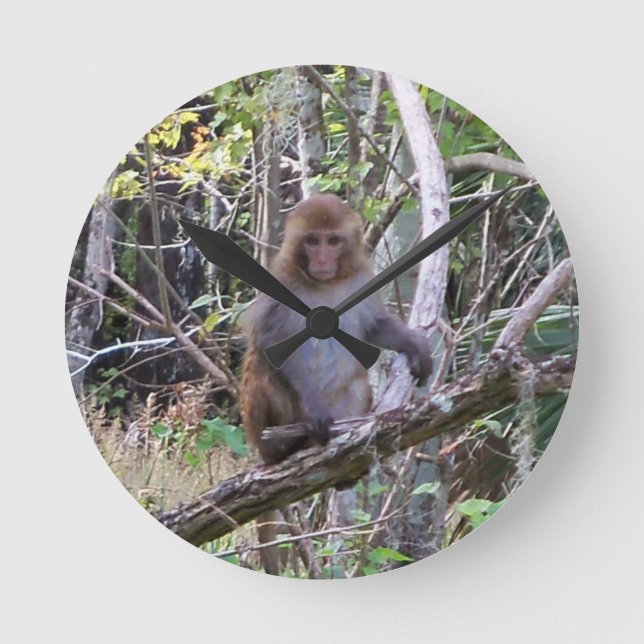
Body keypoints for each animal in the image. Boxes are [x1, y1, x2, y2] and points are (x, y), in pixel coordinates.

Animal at [239, 193, 432, 574]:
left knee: (357, 384)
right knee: (262, 367)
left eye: (333, 241)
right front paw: (314, 407)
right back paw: (281, 448)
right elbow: (272, 345)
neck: (324, 283)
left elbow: (373, 327)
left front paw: (413, 345)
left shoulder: (360, 278)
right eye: (312, 241)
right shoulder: (279, 282)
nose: (323, 259)